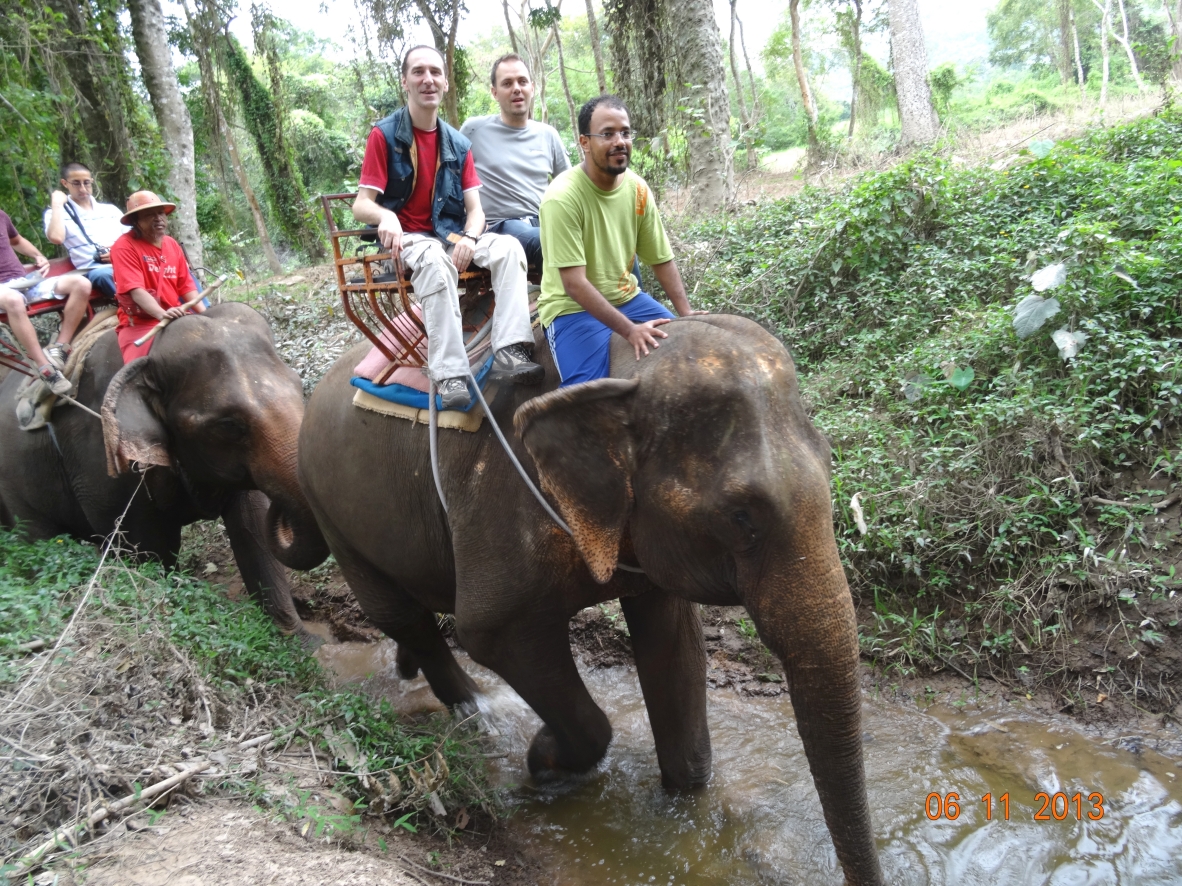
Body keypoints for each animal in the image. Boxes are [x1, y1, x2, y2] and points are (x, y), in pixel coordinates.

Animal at [0, 303, 329, 644]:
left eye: (299, 387)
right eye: (228, 424)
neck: (149, 356)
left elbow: (252, 526)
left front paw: (304, 645)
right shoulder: (100, 460)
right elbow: (148, 552)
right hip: (15, 485)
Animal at [297, 314, 883, 885]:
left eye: (831, 464)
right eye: (742, 516)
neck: (617, 375)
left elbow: (672, 644)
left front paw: (680, 795)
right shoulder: (504, 498)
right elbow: (489, 631)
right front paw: (544, 760)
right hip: (330, 507)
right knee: (400, 614)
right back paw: (478, 711)